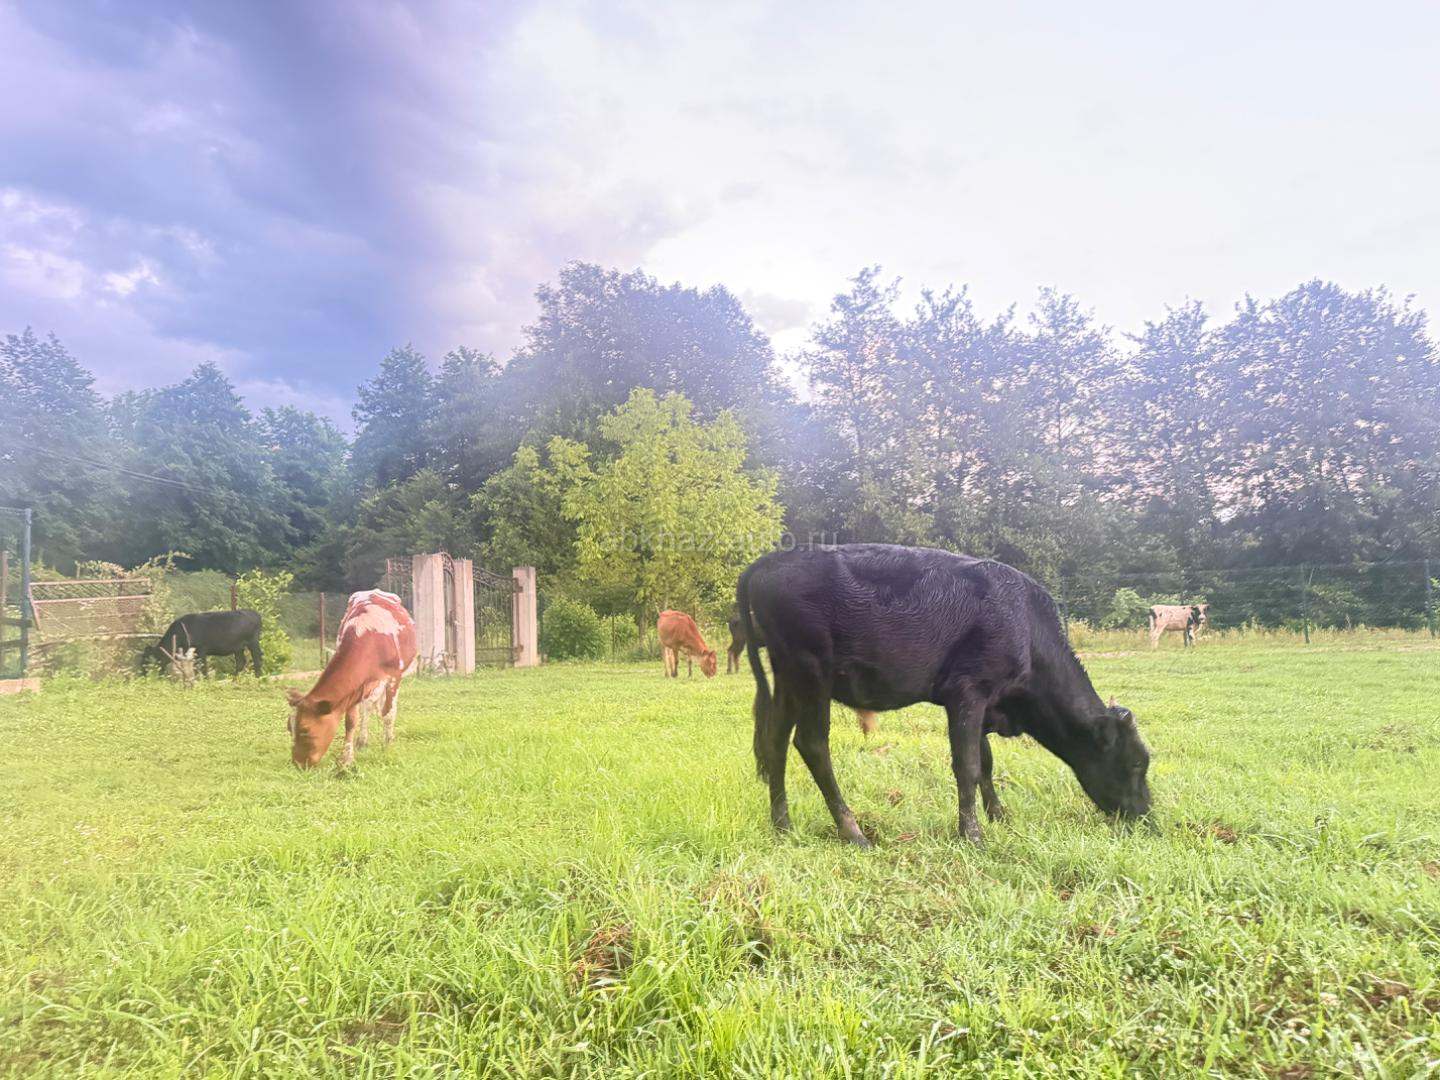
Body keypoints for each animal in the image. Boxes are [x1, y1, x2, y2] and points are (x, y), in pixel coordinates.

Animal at [287, 589, 417, 770]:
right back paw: (362, 741)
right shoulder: (356, 686)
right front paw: (346, 759)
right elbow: (351, 721)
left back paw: (387, 737)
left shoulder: (393, 677)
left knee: (389, 708)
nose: (298, 764)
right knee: (367, 707)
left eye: (305, 730)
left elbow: (388, 713)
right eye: (289, 727)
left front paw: (388, 747)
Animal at [737, 544, 1151, 847]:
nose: (1147, 816)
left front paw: (998, 815)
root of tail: (772, 559)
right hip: (812, 672)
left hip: (787, 677)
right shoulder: (967, 691)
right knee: (811, 744)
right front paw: (972, 835)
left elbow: (985, 762)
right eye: (1135, 763)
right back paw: (852, 831)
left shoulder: (986, 704)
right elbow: (967, 765)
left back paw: (783, 825)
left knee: (775, 742)